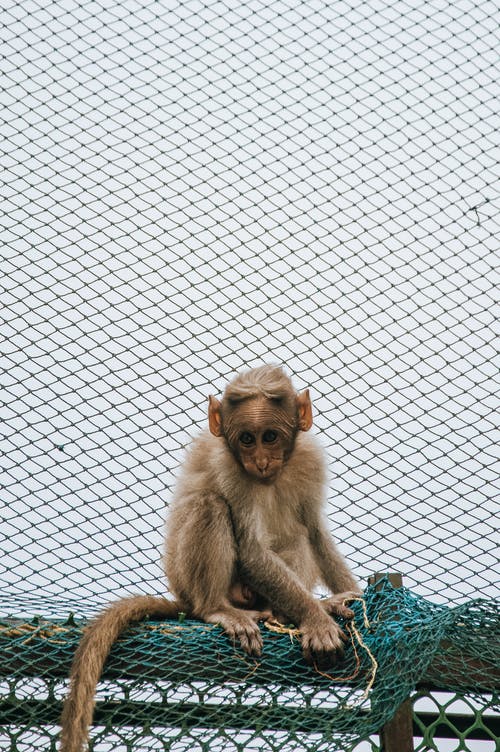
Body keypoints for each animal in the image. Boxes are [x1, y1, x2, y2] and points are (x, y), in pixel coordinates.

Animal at [59, 364, 360, 752]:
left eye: (270, 437)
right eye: (246, 439)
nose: (260, 460)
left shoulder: (310, 459)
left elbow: (315, 530)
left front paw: (345, 598)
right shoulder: (230, 467)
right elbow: (251, 549)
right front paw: (317, 618)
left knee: (297, 534)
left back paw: (279, 612)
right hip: (189, 580)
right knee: (210, 505)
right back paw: (218, 608)